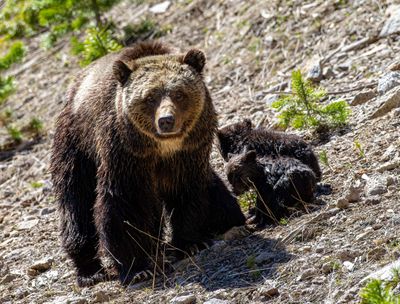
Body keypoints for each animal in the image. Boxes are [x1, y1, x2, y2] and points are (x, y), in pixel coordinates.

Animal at [50, 41, 244, 286]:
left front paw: (191, 243)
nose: (166, 120)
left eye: (179, 94)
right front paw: (137, 268)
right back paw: (89, 270)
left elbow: (187, 193)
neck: (161, 148)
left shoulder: (189, 154)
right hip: (77, 147)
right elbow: (125, 204)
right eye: (150, 97)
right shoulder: (126, 155)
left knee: (215, 192)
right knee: (76, 202)